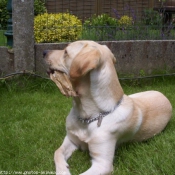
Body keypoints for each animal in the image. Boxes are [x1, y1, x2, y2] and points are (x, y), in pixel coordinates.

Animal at [44, 40, 172, 174]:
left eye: (66, 52)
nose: (44, 52)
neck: (88, 117)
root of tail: (163, 94)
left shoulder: (102, 164)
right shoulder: (71, 139)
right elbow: (57, 152)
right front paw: (63, 170)